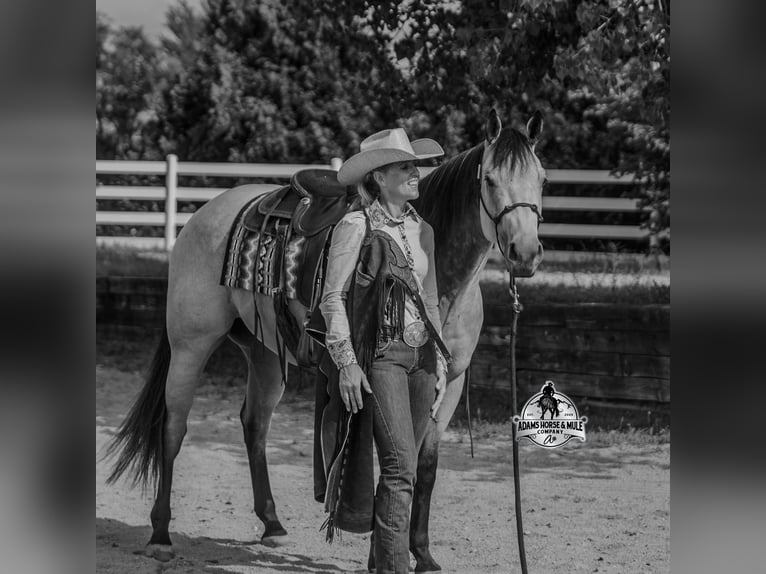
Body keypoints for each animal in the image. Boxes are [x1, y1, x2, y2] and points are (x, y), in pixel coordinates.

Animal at [104, 108, 546, 570]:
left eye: (543, 179)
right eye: (490, 180)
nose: (525, 253)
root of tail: (204, 215)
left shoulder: (451, 381)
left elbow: (424, 465)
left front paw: (422, 554)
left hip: (264, 353)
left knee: (254, 424)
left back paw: (272, 525)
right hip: (191, 346)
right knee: (173, 428)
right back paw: (160, 534)